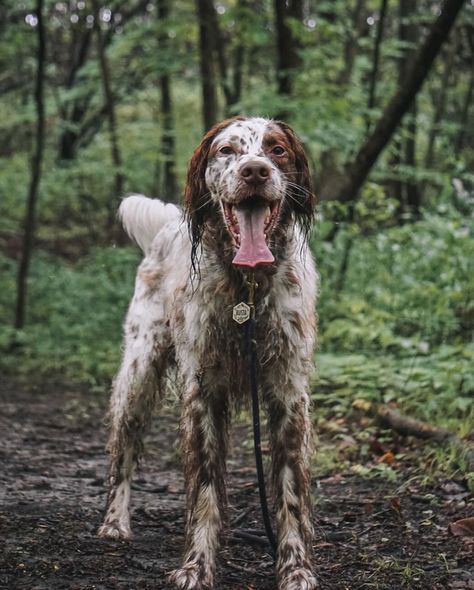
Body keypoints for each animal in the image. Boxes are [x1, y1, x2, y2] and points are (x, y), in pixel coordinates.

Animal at [97, 117, 318, 590]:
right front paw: (196, 566)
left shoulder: (289, 394)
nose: (255, 171)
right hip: (139, 374)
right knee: (123, 452)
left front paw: (296, 568)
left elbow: (290, 491)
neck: (247, 288)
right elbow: (205, 490)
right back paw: (115, 521)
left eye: (276, 149)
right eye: (227, 150)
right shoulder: (203, 393)